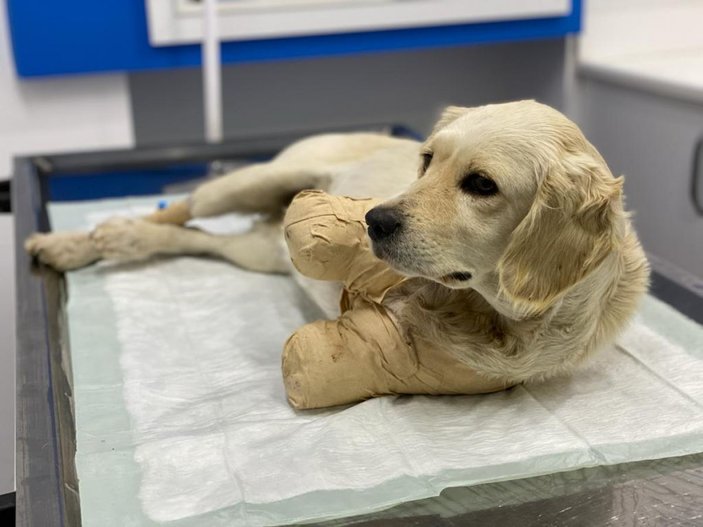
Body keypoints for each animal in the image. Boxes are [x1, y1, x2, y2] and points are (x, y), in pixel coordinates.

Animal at [24, 100, 652, 388]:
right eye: (426, 160)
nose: (373, 220)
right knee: (181, 209)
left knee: (193, 237)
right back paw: (82, 239)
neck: (487, 314)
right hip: (252, 181)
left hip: (257, 251)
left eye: (481, 185)